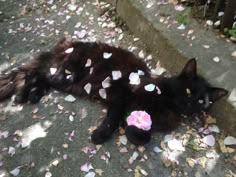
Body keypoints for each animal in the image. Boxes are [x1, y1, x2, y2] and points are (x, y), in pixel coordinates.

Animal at [0, 38, 229, 145]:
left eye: (202, 102)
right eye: (189, 91)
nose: (191, 104)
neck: (165, 101)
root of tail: (68, 44)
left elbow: (143, 135)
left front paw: (131, 130)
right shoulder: (121, 96)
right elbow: (112, 119)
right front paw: (100, 135)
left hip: (64, 81)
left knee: (39, 76)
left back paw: (32, 94)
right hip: (67, 75)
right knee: (35, 73)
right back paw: (22, 95)